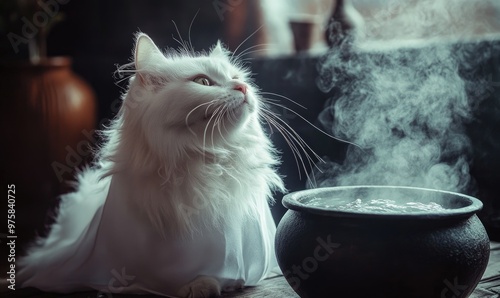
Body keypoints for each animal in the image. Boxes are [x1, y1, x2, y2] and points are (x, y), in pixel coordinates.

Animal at [17, 33, 286, 298]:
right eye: (203, 81)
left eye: (236, 78)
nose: (243, 87)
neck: (209, 161)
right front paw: (196, 286)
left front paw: (218, 283)